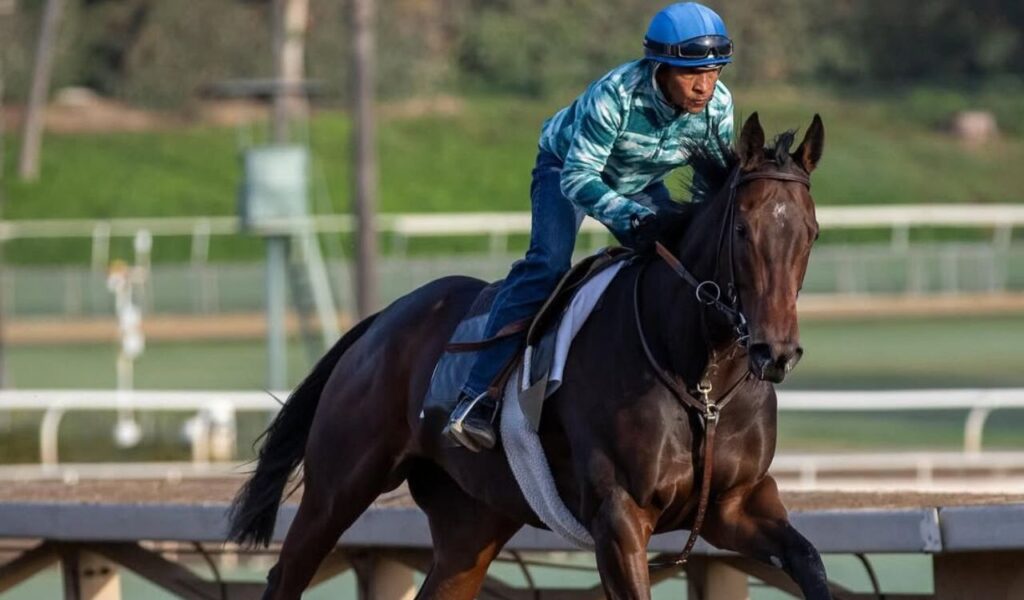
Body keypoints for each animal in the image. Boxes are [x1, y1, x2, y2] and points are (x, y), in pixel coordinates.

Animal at [228, 111, 830, 599]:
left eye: (812, 232)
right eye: (742, 228)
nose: (775, 351)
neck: (701, 380)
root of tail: (382, 320)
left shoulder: (737, 504)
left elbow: (809, 560)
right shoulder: (619, 518)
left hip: (471, 520)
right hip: (339, 485)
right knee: (286, 574)